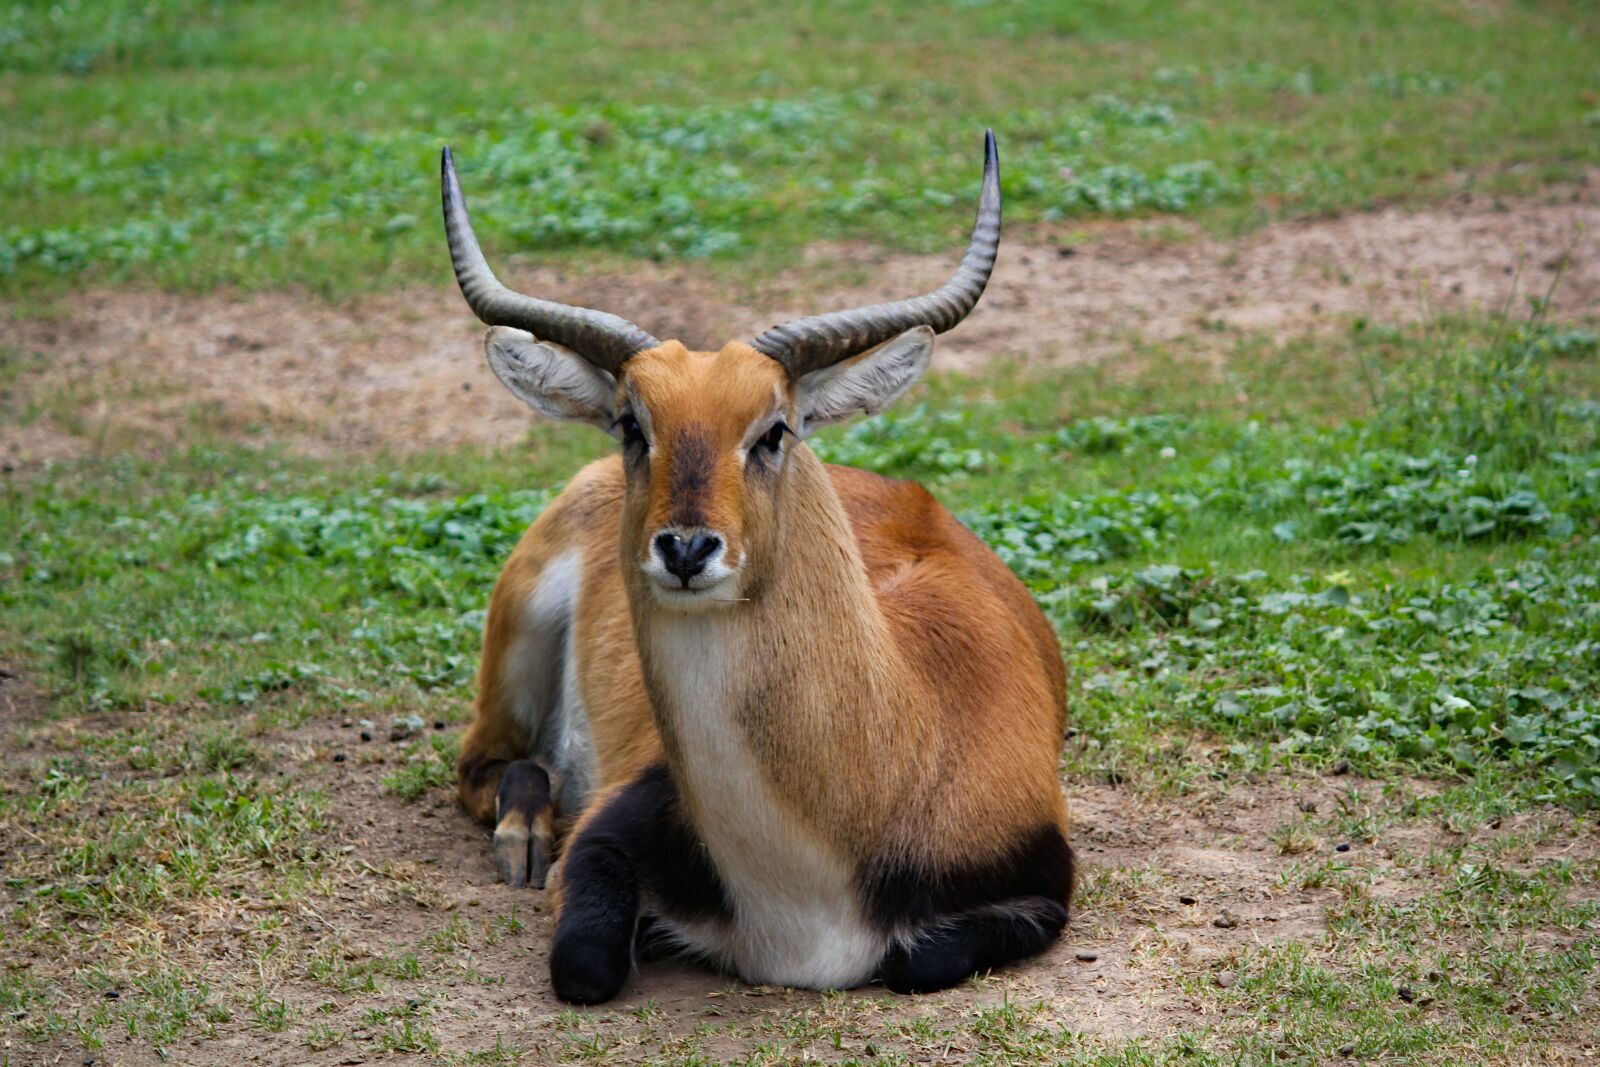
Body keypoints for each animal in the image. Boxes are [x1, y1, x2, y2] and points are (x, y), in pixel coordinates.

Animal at [444, 132, 1073, 1004]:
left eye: (774, 429)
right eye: (631, 423)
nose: (685, 547)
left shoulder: (1046, 882)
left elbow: (917, 958)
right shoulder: (610, 829)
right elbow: (585, 963)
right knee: (483, 761)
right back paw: (526, 834)